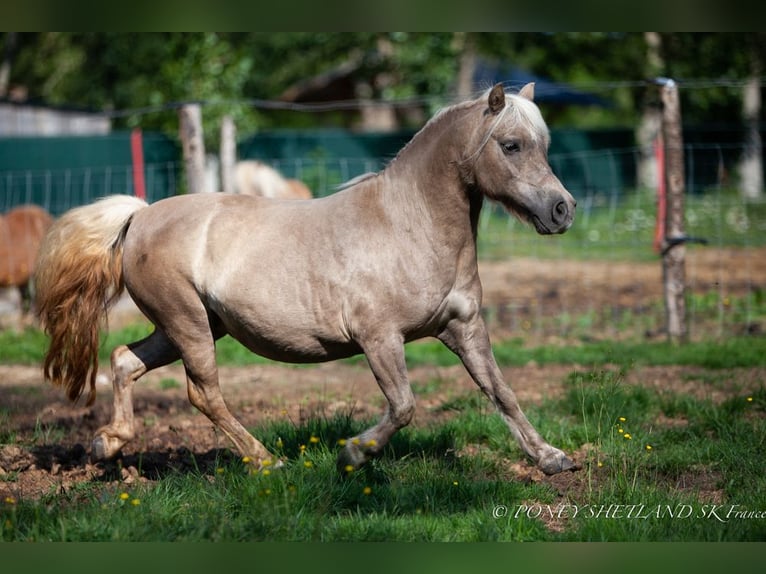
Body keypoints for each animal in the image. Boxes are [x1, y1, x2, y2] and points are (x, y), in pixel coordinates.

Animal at [34, 82, 576, 476]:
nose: (562, 209)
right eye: (511, 145)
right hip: (188, 325)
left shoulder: (463, 328)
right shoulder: (380, 338)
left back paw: (108, 444)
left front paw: (552, 458)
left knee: (125, 361)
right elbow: (403, 406)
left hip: (186, 327)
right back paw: (266, 462)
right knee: (203, 393)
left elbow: (501, 391)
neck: (409, 225)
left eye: (543, 145)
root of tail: (140, 216)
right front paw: (352, 453)